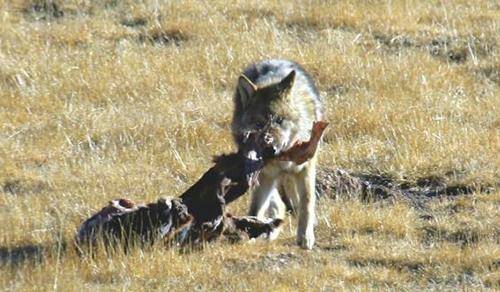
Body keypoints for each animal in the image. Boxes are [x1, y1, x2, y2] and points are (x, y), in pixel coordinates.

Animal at [231, 58, 324, 249]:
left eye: (280, 120)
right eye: (259, 124)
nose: (272, 148)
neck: (284, 158)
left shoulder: (306, 168)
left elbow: (307, 202)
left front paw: (306, 237)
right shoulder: (264, 174)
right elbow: (256, 208)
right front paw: (253, 232)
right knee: (278, 203)